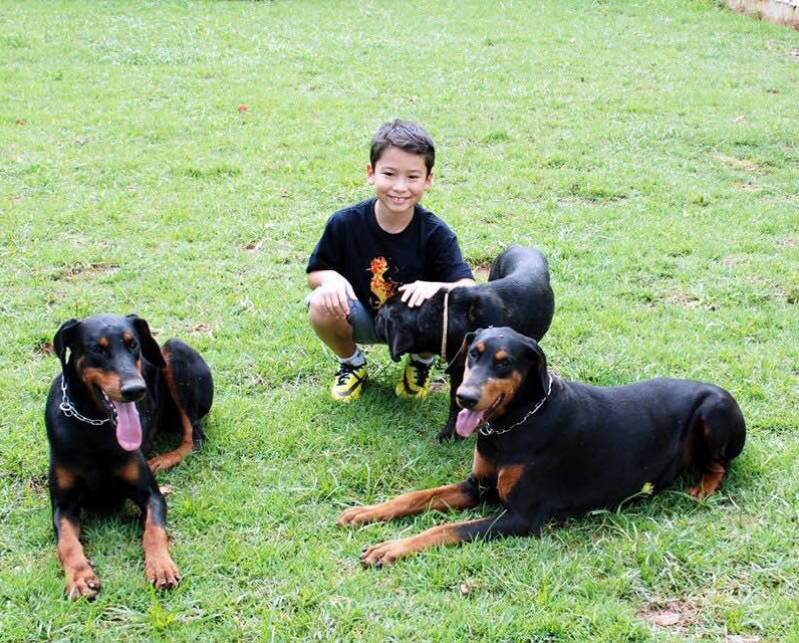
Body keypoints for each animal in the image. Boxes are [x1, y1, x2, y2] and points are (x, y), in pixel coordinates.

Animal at [46, 314, 212, 600]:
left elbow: (153, 530)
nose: (136, 389)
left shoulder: (150, 494)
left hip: (174, 351)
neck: (95, 425)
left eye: (133, 344)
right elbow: (66, 541)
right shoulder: (62, 504)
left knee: (194, 436)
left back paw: (162, 460)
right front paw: (80, 576)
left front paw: (161, 567)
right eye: (98, 349)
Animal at [336, 330, 744, 568]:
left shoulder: (521, 517)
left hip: (714, 410)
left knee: (721, 464)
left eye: (504, 363)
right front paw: (366, 512)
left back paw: (703, 488)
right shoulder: (477, 485)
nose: (464, 398)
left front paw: (391, 548)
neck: (515, 423)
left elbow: (447, 529)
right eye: (473, 353)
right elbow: (417, 496)